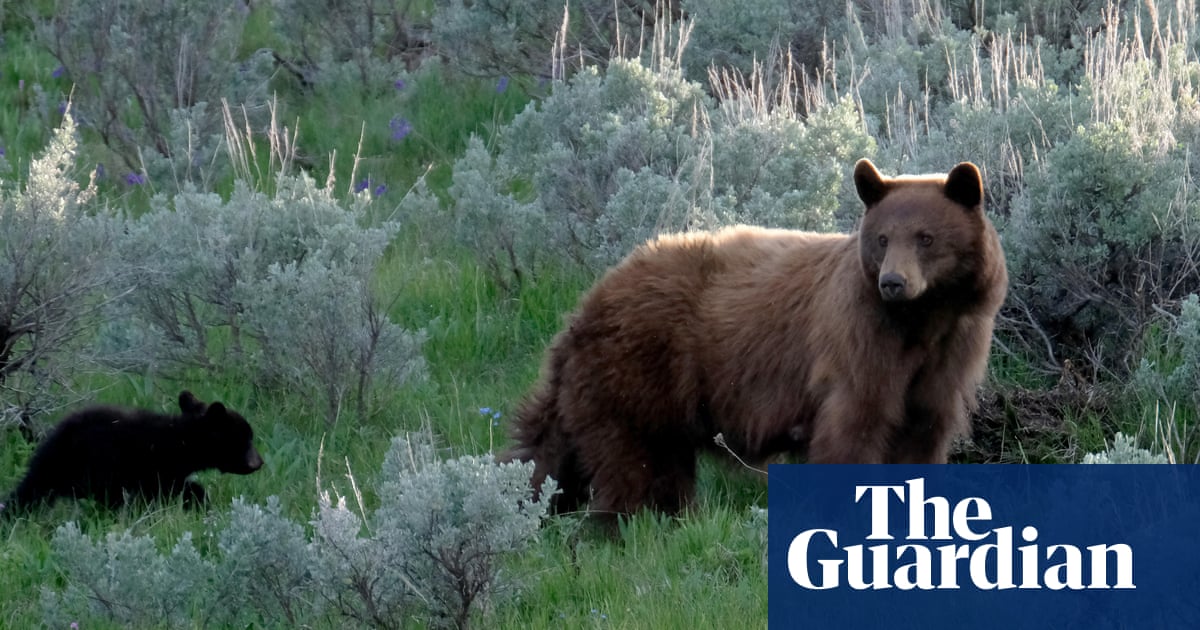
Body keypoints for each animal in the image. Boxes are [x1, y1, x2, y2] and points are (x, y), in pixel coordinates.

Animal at [501, 158, 1008, 516]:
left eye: (925, 237)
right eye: (883, 238)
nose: (893, 283)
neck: (921, 321)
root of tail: (586, 306)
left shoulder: (951, 351)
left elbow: (923, 430)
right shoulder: (860, 340)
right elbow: (853, 426)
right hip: (637, 373)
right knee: (632, 468)